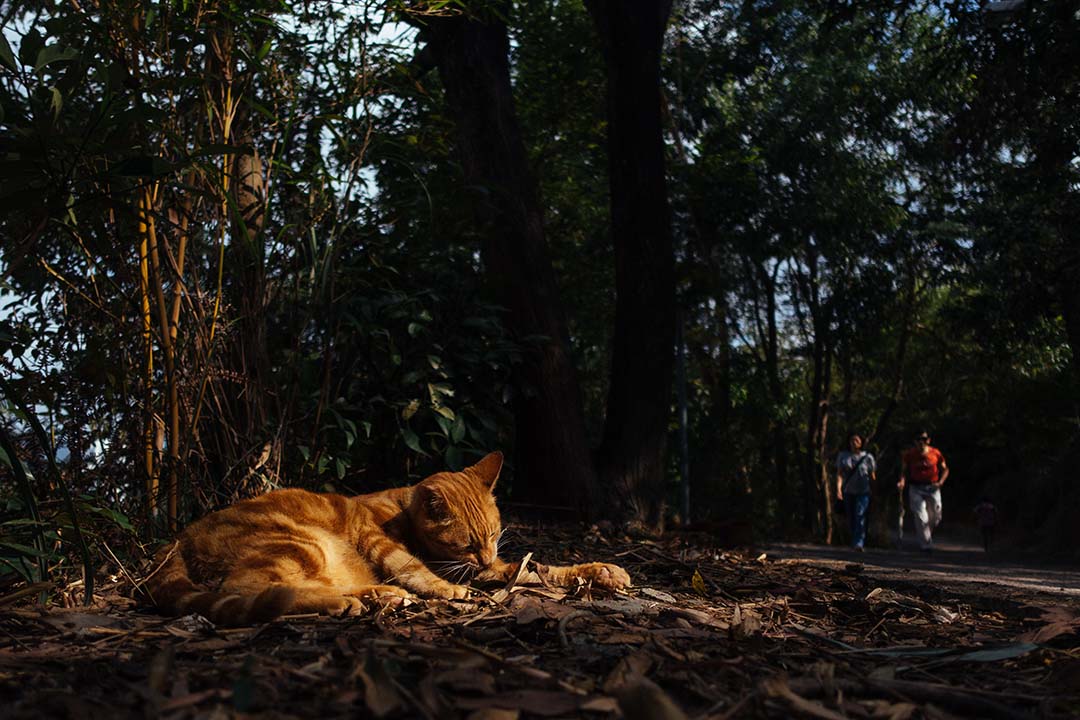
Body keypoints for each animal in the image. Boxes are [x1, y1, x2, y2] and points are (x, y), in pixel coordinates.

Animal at [145, 451, 630, 626]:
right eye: (467, 543)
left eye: (494, 534)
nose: (484, 556)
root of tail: (178, 537)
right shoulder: (375, 538)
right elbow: (414, 568)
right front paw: (450, 591)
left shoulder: (498, 567)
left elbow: (538, 569)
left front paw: (602, 571)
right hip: (299, 542)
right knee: (254, 589)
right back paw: (350, 601)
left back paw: (378, 596)